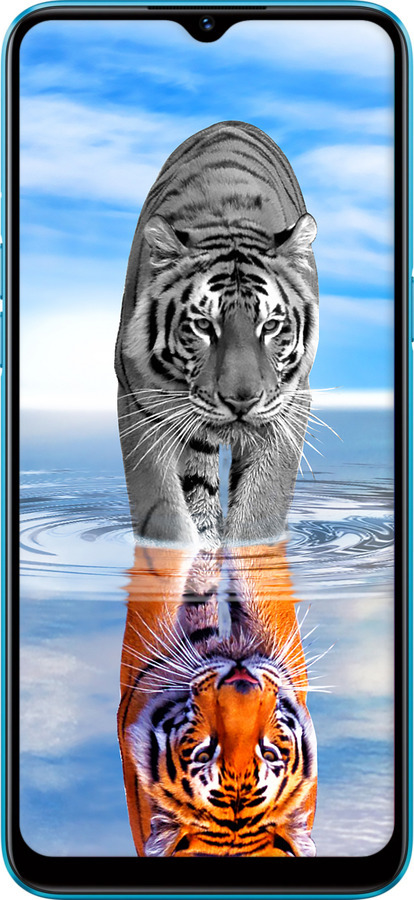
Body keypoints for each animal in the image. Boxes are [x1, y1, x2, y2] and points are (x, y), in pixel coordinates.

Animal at [115, 120, 319, 549]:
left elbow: (261, 509)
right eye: (203, 326)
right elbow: (163, 512)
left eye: (270, 326)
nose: (241, 400)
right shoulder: (139, 401)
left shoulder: (290, 404)